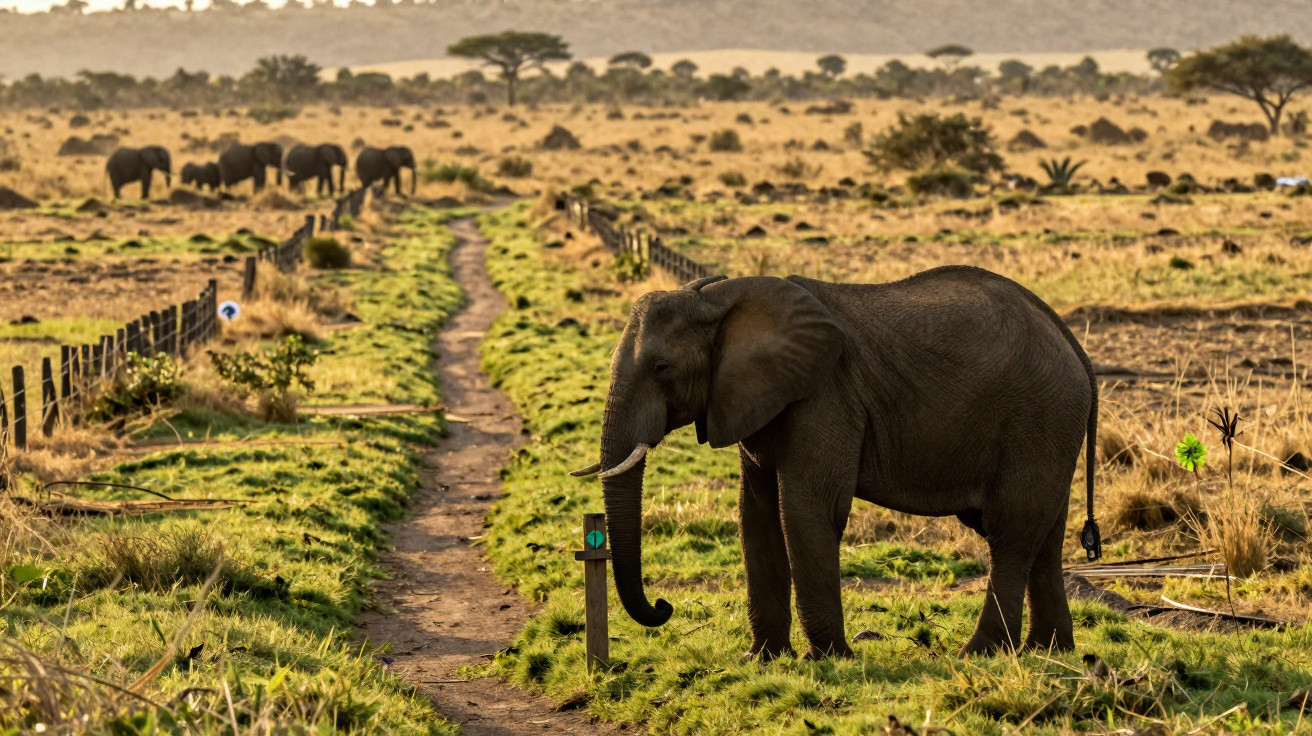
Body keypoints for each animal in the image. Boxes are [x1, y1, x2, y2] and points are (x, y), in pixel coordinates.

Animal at [571, 267, 1101, 660]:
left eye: (662, 368)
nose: (664, 606)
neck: (718, 300)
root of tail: (1071, 342)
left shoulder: (825, 395)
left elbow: (807, 511)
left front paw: (829, 660)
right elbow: (756, 515)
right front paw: (762, 660)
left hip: (1038, 418)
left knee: (1012, 532)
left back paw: (980, 653)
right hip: (1051, 427)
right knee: (1044, 533)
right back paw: (1048, 650)